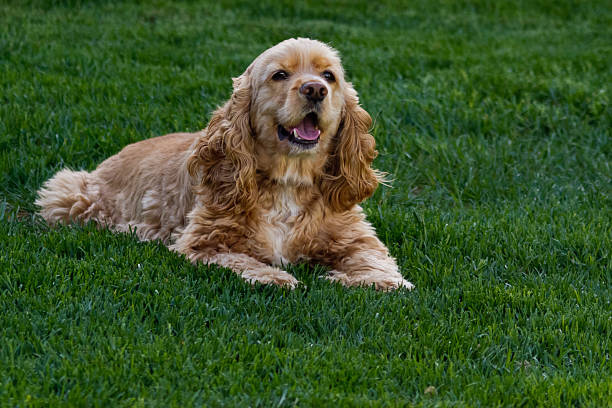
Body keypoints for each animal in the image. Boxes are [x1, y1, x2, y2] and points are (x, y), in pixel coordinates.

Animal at [34, 38, 416, 292]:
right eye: (280, 75)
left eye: (329, 76)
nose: (314, 90)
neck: (289, 180)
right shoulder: (204, 241)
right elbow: (242, 259)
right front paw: (276, 276)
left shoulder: (355, 236)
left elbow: (377, 262)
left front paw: (376, 280)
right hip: (71, 195)